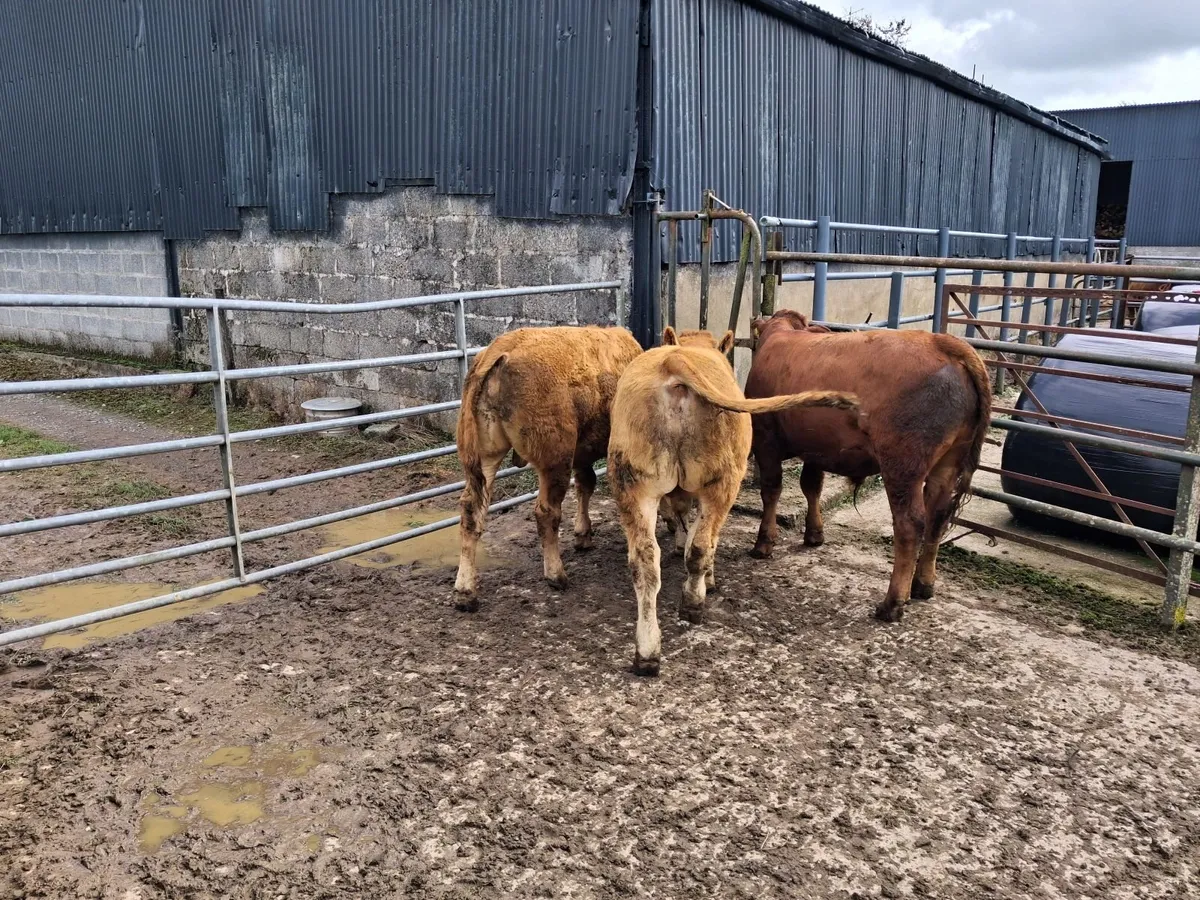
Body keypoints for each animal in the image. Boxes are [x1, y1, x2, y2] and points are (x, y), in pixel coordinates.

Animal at [454, 325, 643, 611]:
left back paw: (465, 591)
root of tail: (500, 353)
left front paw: (583, 534)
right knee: (546, 512)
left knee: (471, 510)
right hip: (554, 461)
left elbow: (586, 484)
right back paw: (556, 574)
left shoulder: (582, 453)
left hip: (483, 457)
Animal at [608, 326, 859, 676]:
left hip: (632, 482)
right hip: (723, 479)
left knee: (644, 562)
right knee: (701, 547)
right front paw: (708, 580)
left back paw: (647, 652)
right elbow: (701, 539)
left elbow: (684, 520)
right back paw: (694, 603)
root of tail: (674, 360)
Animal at [745, 309, 991, 624]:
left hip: (902, 465)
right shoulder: (816, 445)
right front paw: (814, 534)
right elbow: (812, 487)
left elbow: (771, 489)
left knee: (910, 524)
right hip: (948, 463)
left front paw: (764, 543)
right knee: (938, 517)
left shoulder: (765, 437)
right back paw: (923, 584)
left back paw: (892, 603)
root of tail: (942, 342)